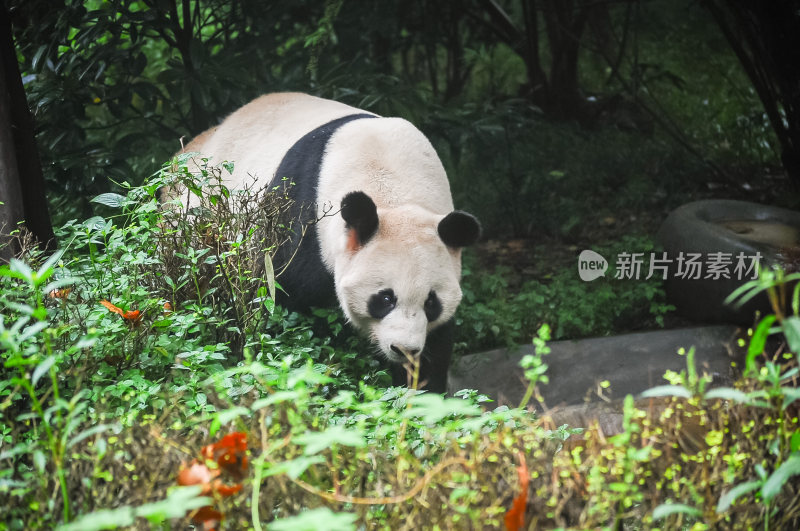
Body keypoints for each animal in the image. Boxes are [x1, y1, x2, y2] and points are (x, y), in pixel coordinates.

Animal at [178, 93, 478, 392]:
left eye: (431, 302)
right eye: (385, 298)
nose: (404, 349)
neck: (391, 187)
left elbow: (436, 343)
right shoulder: (301, 224)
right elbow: (282, 307)